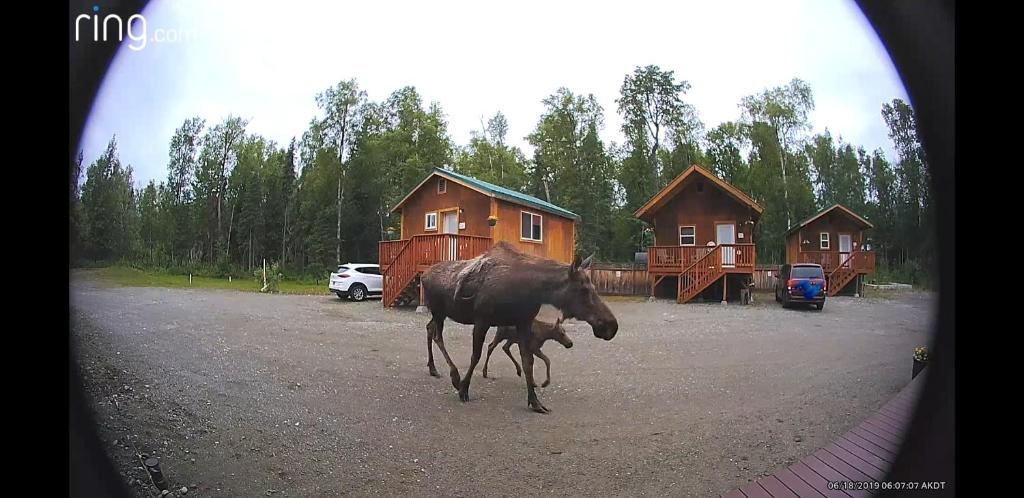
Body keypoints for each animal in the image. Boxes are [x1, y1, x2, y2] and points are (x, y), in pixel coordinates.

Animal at [421, 240, 618, 411]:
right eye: (583, 289)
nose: (611, 326)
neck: (530, 290)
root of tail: (423, 275)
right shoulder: (482, 320)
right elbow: (475, 356)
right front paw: (463, 388)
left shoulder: (523, 323)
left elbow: (527, 362)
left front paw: (535, 401)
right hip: (438, 311)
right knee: (437, 336)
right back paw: (454, 376)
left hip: (439, 313)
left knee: (429, 329)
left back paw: (433, 368)